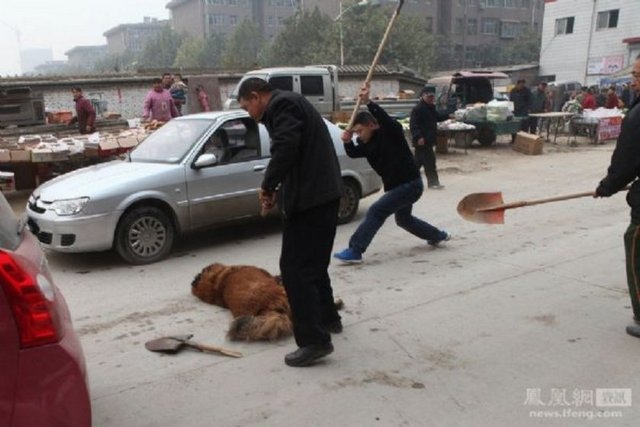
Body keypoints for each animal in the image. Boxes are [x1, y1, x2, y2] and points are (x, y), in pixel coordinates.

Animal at [190, 262, 342, 342]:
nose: (194, 278)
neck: (217, 283)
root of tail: (267, 309)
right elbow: (278, 277)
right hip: (285, 293)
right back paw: (337, 305)